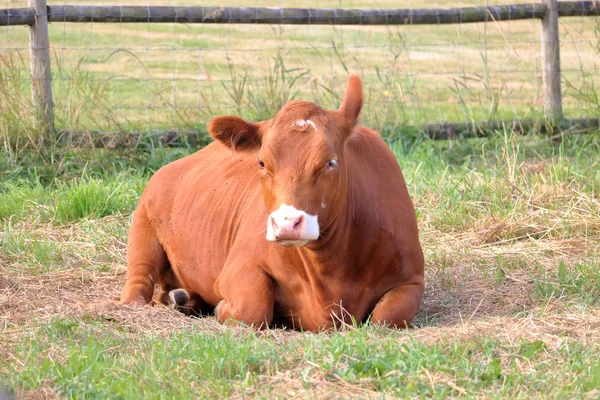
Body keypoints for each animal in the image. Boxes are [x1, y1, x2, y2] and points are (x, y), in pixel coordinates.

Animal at [117, 75, 424, 332]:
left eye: (330, 162)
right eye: (262, 162)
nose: (287, 223)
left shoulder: (412, 280)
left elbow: (387, 317)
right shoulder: (239, 266)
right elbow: (252, 308)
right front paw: (221, 308)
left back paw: (184, 298)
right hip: (143, 231)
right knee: (139, 282)